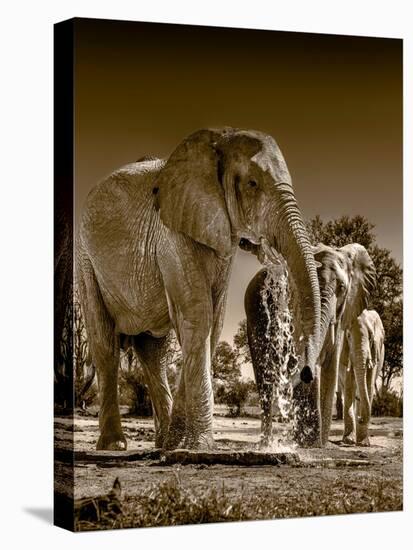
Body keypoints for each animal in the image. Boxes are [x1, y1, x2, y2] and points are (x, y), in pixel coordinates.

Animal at [78, 129, 322, 452]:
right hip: (86, 262)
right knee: (104, 343)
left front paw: (180, 443)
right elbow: (198, 313)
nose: (305, 372)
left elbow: (213, 320)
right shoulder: (172, 232)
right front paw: (199, 445)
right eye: (253, 183)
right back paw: (114, 445)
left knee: (153, 352)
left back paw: (162, 444)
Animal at [245, 245, 376, 448]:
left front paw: (320, 444)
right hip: (254, 315)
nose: (306, 373)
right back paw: (266, 443)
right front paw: (309, 442)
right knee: (263, 371)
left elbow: (331, 364)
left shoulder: (342, 314)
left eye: (342, 288)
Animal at [338, 310, 384, 448]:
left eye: (371, 337)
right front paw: (348, 441)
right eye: (348, 336)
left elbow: (369, 385)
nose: (360, 418)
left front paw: (363, 444)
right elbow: (349, 387)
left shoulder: (375, 351)